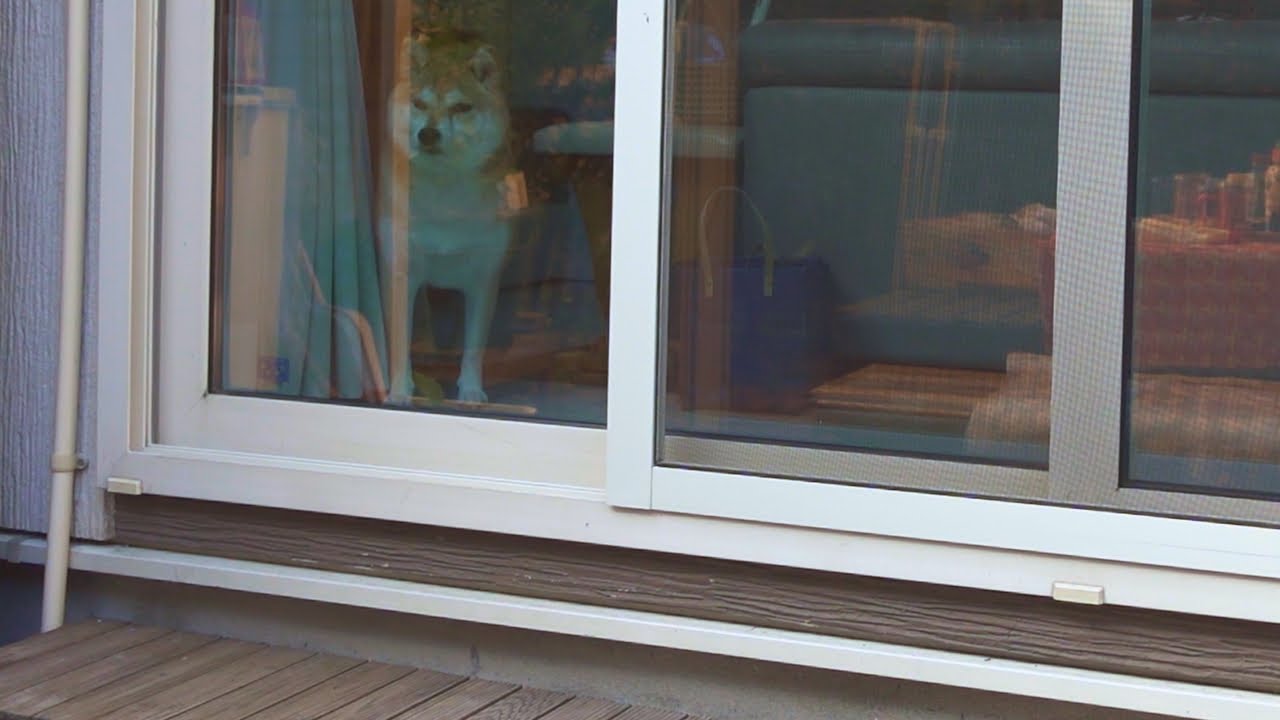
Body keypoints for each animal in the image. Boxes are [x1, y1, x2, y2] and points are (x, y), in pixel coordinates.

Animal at [381, 28, 517, 405]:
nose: (428, 133)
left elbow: (473, 347)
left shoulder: (484, 278)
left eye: (461, 107)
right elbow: (401, 345)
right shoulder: (402, 272)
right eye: (419, 104)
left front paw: (470, 391)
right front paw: (400, 391)